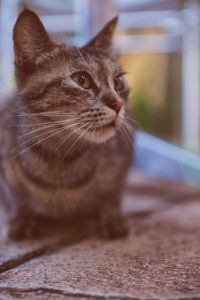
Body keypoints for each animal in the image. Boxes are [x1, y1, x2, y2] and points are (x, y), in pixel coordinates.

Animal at [0, 9, 134, 239]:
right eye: (82, 80)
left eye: (118, 82)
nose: (118, 104)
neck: (62, 160)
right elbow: (15, 199)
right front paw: (21, 218)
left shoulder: (123, 161)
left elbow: (112, 194)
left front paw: (111, 216)